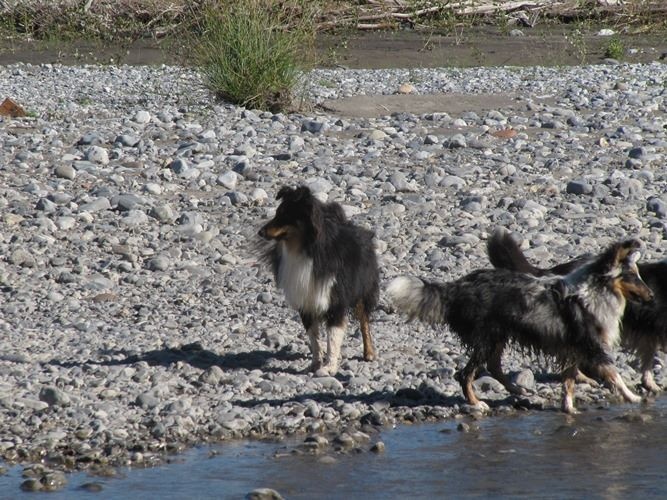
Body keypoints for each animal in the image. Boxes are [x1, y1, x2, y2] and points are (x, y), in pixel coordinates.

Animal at [258, 187, 378, 376]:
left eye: (284, 215)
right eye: (277, 213)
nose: (260, 232)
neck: (306, 249)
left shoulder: (335, 302)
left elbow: (333, 339)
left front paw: (329, 367)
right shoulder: (306, 302)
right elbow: (314, 338)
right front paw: (315, 364)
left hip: (362, 290)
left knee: (364, 321)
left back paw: (369, 353)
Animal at [388, 238, 656, 414]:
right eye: (632, 276)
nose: (652, 296)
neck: (595, 290)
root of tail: (457, 286)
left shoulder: (573, 347)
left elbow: (569, 380)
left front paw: (569, 409)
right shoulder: (591, 346)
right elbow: (614, 374)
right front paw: (633, 397)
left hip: (498, 336)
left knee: (493, 366)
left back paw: (518, 390)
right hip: (487, 339)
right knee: (465, 374)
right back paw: (477, 403)